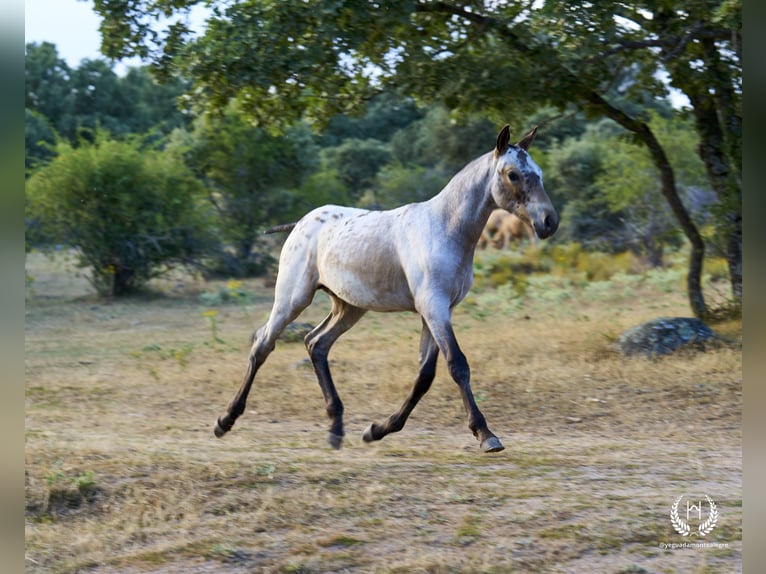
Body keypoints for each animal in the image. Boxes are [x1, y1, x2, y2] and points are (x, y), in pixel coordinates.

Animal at [216, 125, 560, 454]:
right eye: (513, 174)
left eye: (539, 172)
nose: (549, 221)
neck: (445, 229)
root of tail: (300, 223)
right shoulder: (433, 307)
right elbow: (457, 365)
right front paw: (486, 435)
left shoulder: (437, 311)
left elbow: (425, 375)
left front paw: (377, 430)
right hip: (292, 298)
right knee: (263, 344)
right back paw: (225, 420)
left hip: (348, 307)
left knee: (316, 343)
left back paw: (336, 429)